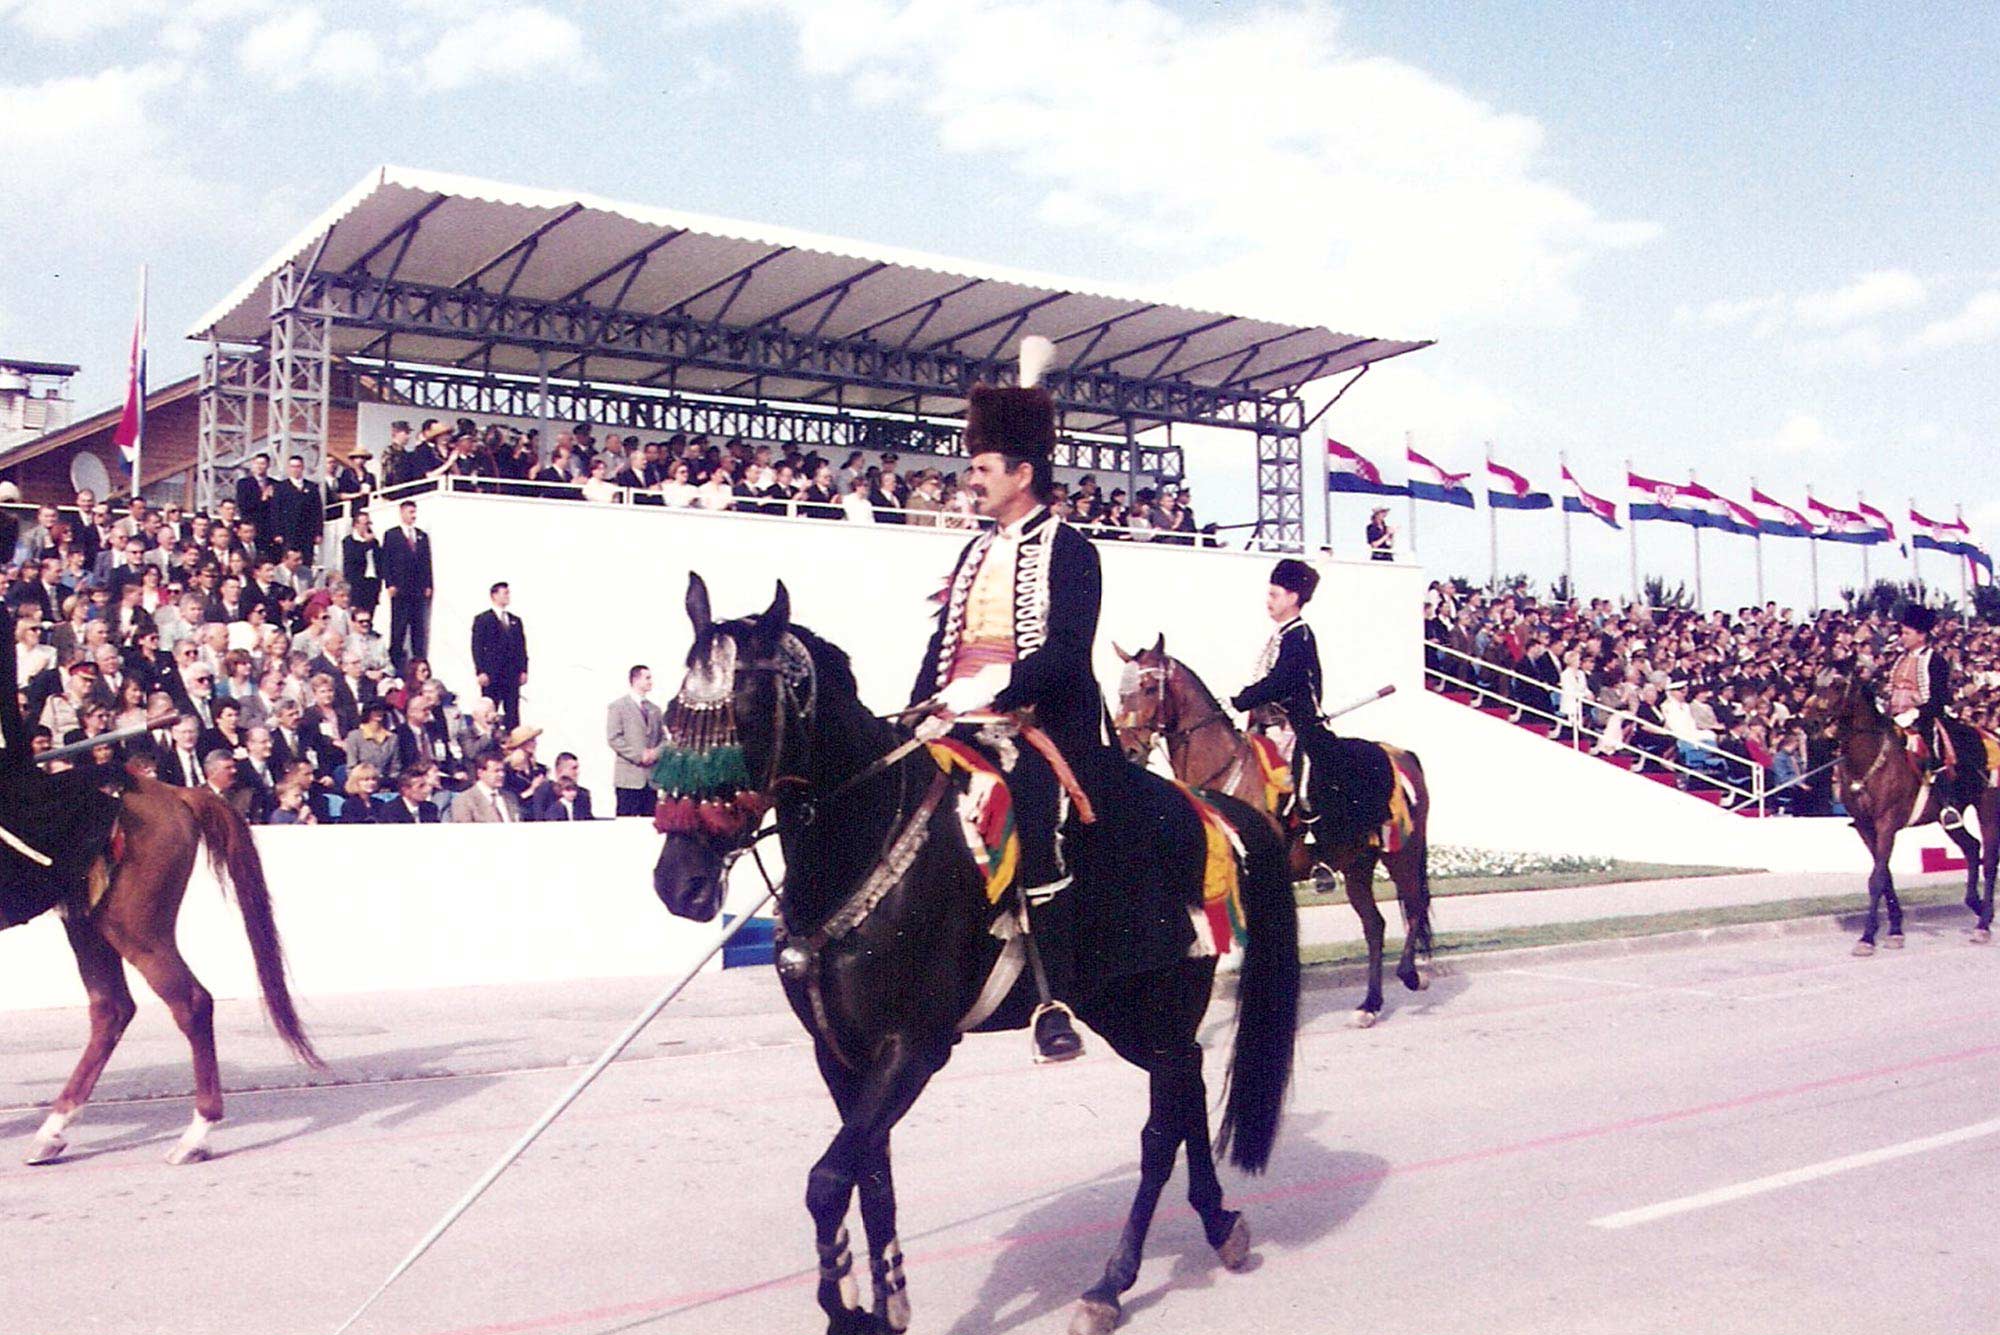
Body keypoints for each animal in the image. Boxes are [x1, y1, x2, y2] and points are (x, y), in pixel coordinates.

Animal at [20, 775, 320, 1159]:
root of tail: (174, 791)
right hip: (88, 921)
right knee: (111, 1008)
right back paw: (53, 1131)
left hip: (135, 930)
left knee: (190, 1002)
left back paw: (196, 1135)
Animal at [656, 575, 1304, 1335]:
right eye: (673, 715)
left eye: (749, 713)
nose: (679, 882)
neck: (869, 836)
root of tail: (1210, 810)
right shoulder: (841, 1053)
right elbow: (870, 1175)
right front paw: (885, 1305)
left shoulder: (914, 1048)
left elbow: (828, 1180)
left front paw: (847, 1308)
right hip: (1125, 1010)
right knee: (1189, 1085)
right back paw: (1219, 1223)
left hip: (1162, 999)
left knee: (1159, 1128)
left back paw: (1111, 1283)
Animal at [1120, 639, 1432, 1031]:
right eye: (1120, 693)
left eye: (1148, 688)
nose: (1129, 749)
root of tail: (1403, 755)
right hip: (1357, 865)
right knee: (1375, 926)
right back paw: (1370, 1005)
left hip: (1402, 853)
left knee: (1415, 906)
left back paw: (1410, 974)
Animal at [1800, 671, 2000, 955]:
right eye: (1816, 684)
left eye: (1838, 685)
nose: (1810, 724)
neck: (1870, 758)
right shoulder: (1866, 827)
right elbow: (1885, 876)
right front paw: (1895, 930)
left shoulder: (1886, 823)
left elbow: (1877, 879)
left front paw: (1867, 938)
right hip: (1951, 817)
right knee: (1972, 848)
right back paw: (1978, 906)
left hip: (1988, 807)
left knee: (1990, 859)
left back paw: (1982, 925)